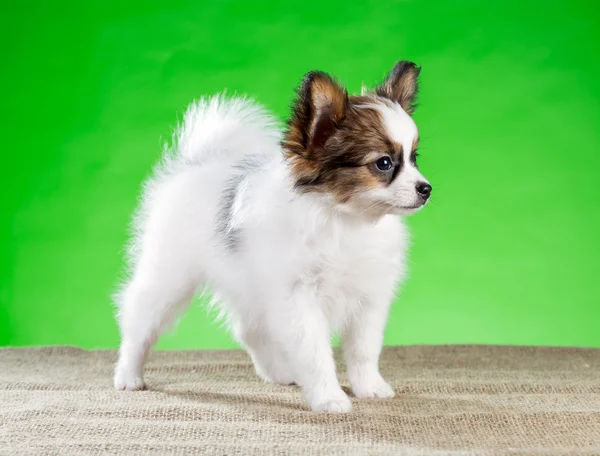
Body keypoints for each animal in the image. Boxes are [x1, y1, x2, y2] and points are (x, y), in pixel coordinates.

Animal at [112, 60, 432, 414]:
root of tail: (199, 162)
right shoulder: (299, 299)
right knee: (139, 320)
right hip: (169, 277)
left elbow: (364, 350)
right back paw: (128, 375)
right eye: (384, 163)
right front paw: (329, 398)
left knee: (250, 329)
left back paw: (279, 372)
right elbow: (316, 355)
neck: (345, 221)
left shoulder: (369, 298)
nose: (426, 189)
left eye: (415, 158)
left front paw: (370, 388)